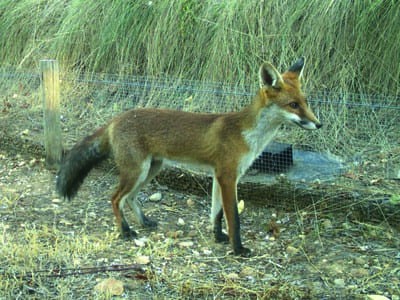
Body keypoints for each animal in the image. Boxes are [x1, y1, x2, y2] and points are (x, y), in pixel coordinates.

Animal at [56, 57, 322, 254]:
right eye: (293, 105)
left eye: (306, 102)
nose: (319, 124)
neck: (249, 135)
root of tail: (115, 119)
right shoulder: (227, 176)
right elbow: (234, 217)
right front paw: (238, 248)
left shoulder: (219, 176)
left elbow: (216, 213)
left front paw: (218, 236)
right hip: (137, 171)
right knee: (114, 198)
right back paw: (125, 231)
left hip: (151, 169)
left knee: (129, 199)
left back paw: (143, 223)